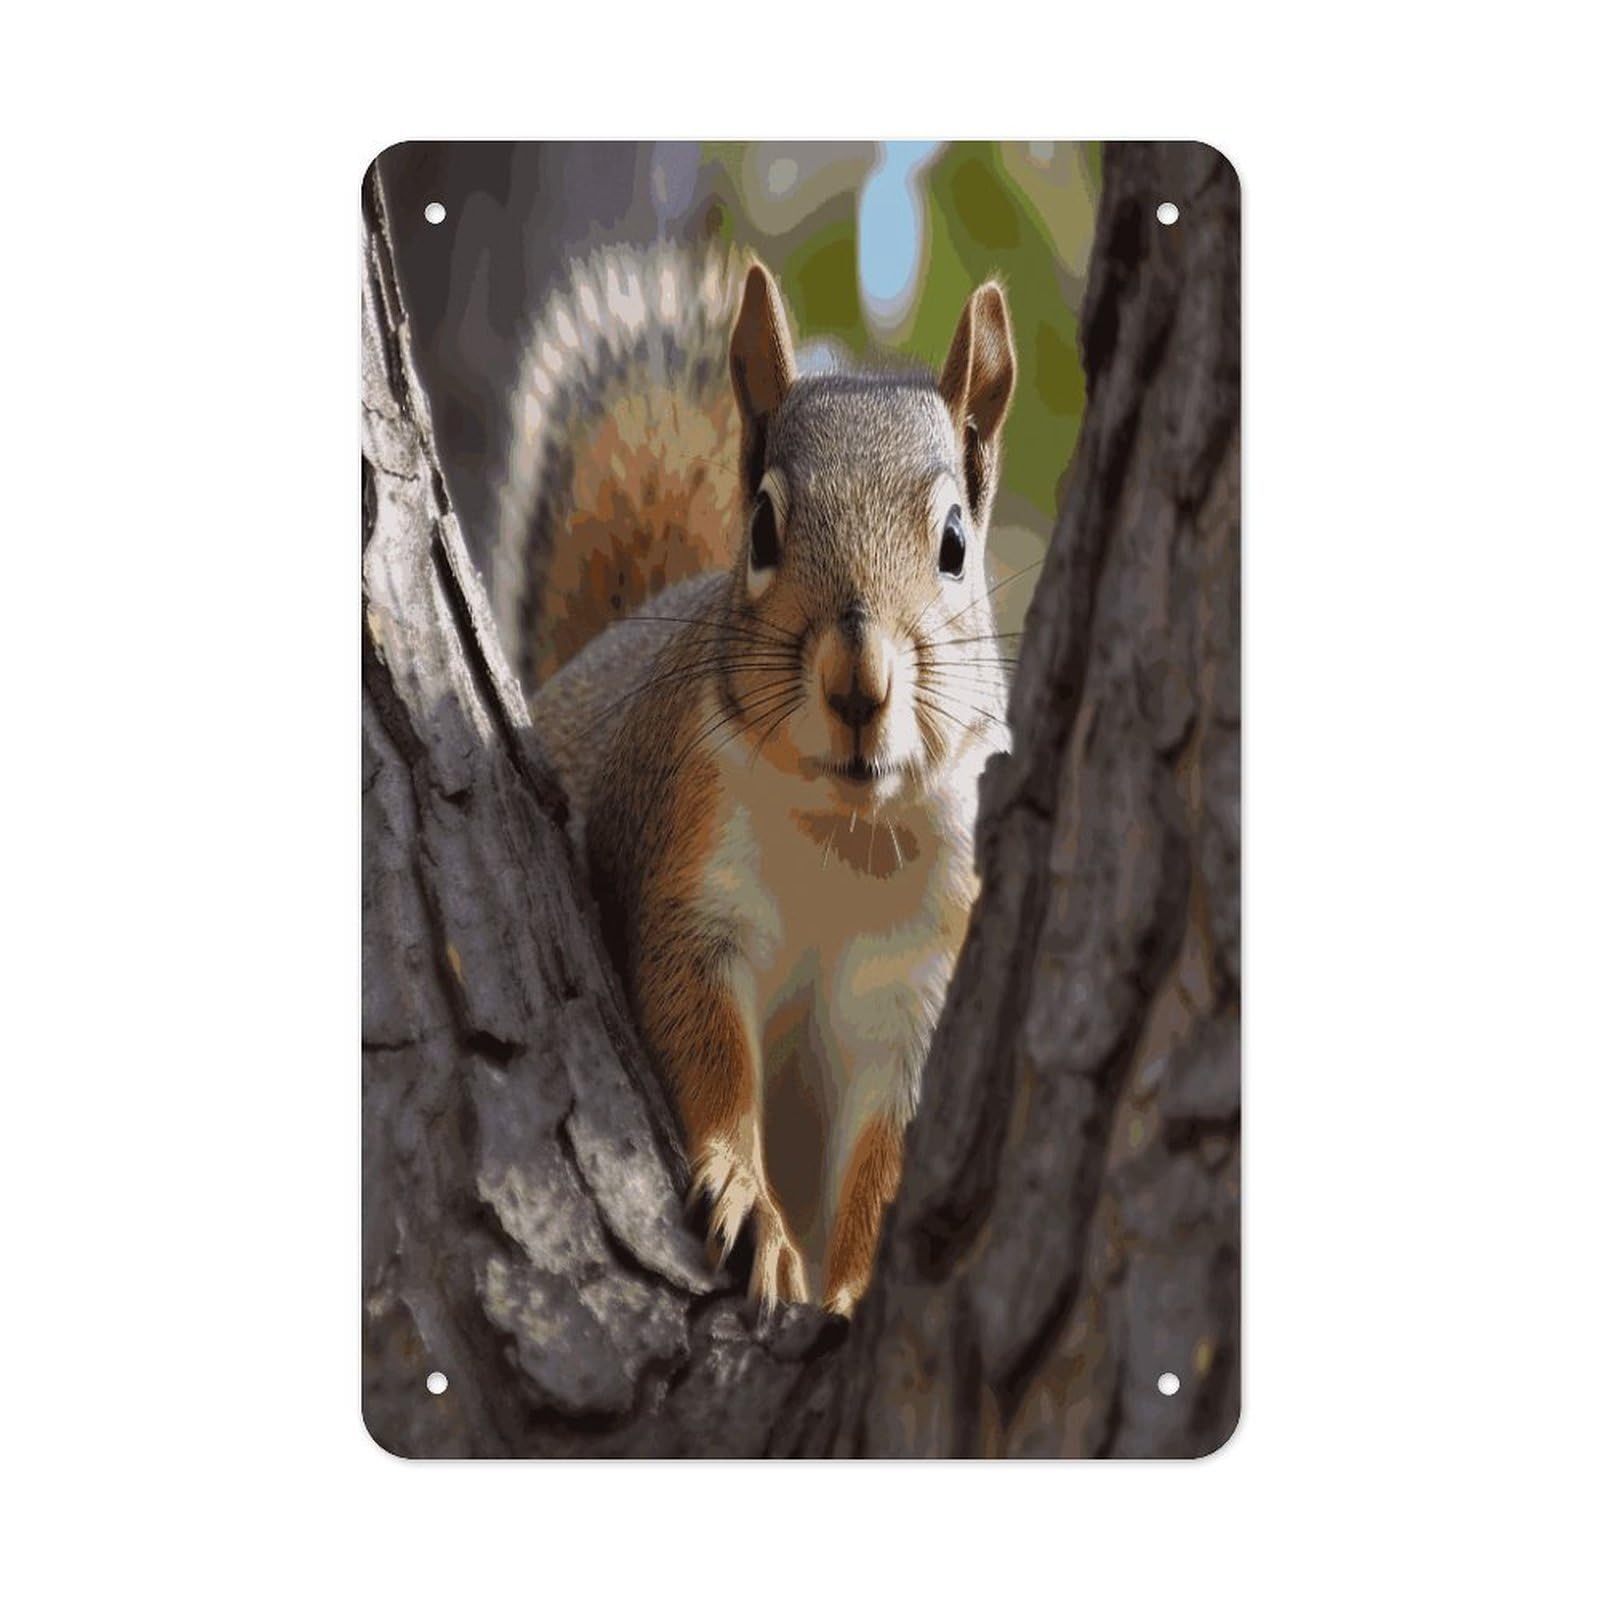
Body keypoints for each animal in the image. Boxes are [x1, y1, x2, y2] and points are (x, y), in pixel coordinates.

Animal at [495, 243, 1017, 1316]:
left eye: (955, 543)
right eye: (765, 527)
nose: (858, 682)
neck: (845, 832)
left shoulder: (918, 979)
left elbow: (887, 1152)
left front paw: (852, 1290)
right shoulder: (690, 875)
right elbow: (704, 1043)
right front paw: (747, 1199)